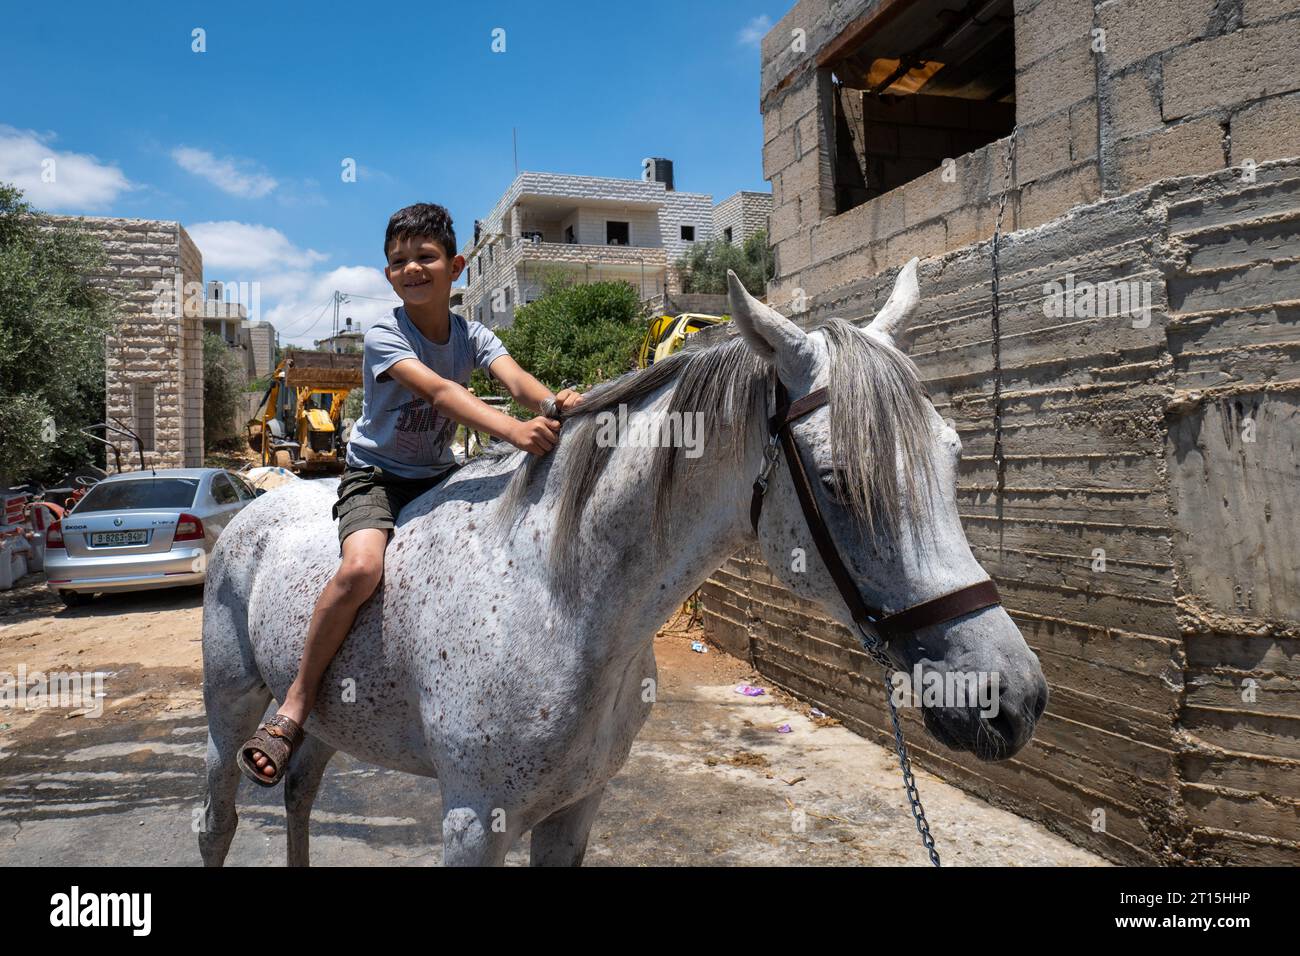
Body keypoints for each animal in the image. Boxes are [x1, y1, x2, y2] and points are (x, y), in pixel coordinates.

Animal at [200, 261, 1045, 868]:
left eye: (953, 454)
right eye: (839, 480)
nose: (1012, 697)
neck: (558, 598)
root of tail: (253, 513)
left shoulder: (576, 811)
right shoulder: (472, 820)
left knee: (301, 797)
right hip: (229, 713)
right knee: (218, 823)